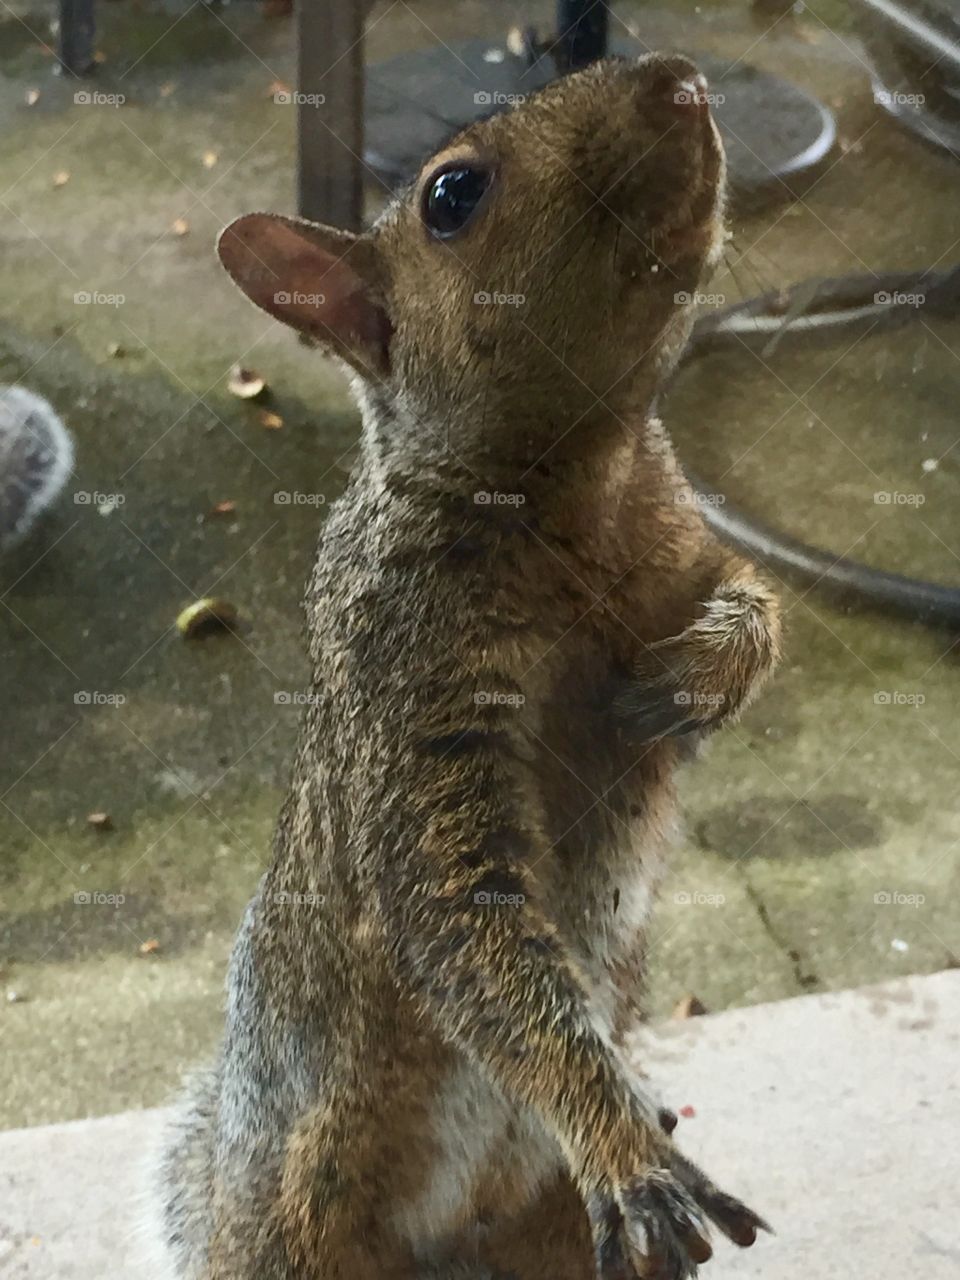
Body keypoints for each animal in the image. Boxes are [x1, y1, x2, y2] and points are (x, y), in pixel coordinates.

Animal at [158, 54, 781, 1280]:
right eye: (451, 196)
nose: (682, 81)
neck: (581, 480)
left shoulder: (688, 545)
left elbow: (758, 604)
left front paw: (693, 679)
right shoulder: (410, 684)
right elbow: (462, 916)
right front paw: (623, 1151)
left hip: (544, 1228)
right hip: (309, 1228)